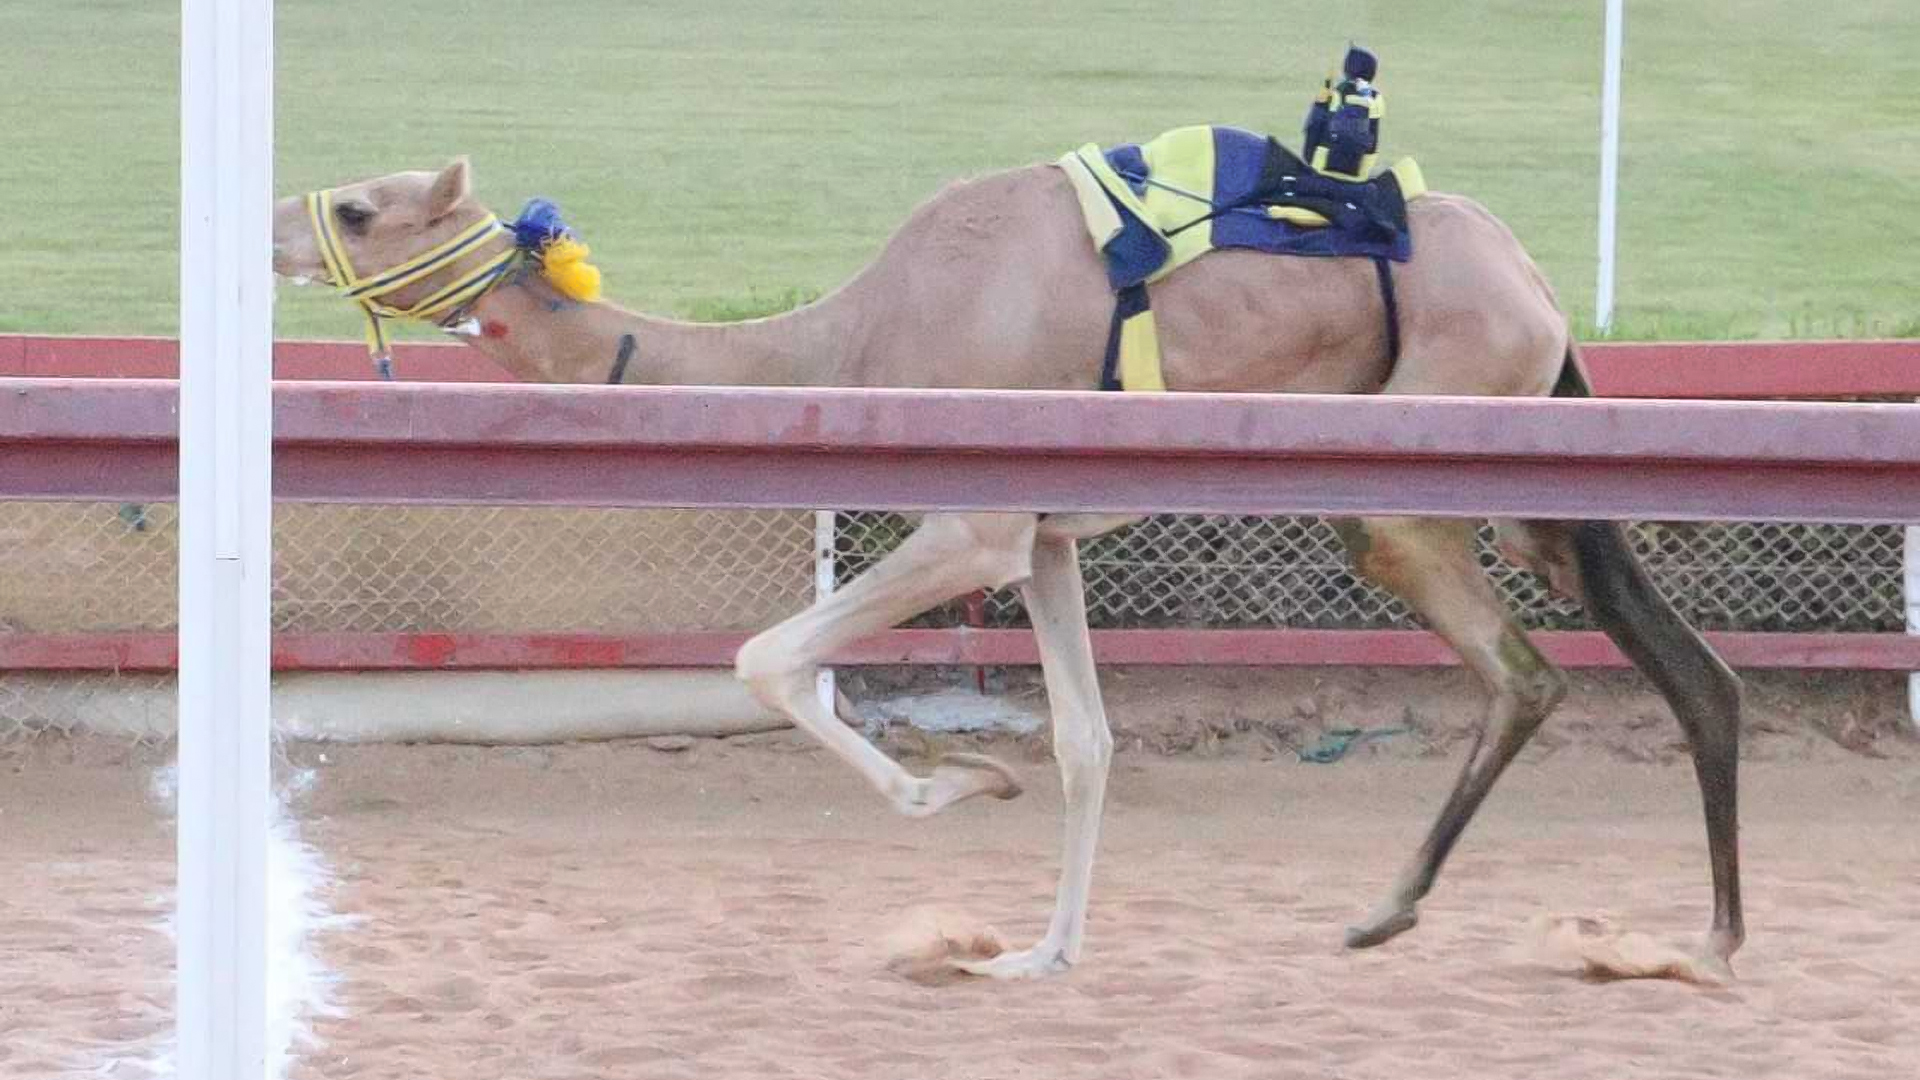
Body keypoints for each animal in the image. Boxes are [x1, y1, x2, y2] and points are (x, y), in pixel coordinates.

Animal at [274, 147, 1758, 980]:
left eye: (362, 205)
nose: (277, 225)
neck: (849, 348)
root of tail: (1543, 288)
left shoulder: (974, 522)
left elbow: (768, 658)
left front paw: (954, 792)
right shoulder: (1043, 542)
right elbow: (1089, 740)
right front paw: (1044, 951)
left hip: (1430, 441)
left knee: (1522, 664)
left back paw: (1421, 912)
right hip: (1528, 464)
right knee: (1673, 665)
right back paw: (1684, 933)